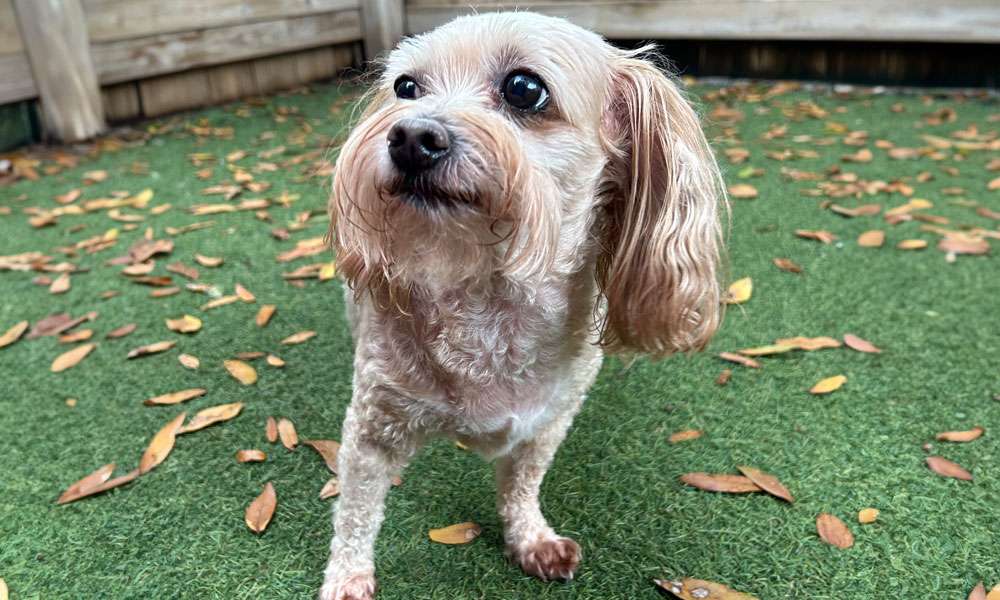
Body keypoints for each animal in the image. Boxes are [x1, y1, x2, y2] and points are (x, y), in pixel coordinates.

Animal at [324, 10, 724, 600]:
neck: (487, 298)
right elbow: (355, 513)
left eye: (524, 88)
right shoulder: (373, 430)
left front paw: (531, 538)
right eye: (406, 88)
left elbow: (522, 485)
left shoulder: (546, 424)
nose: (411, 136)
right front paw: (347, 576)